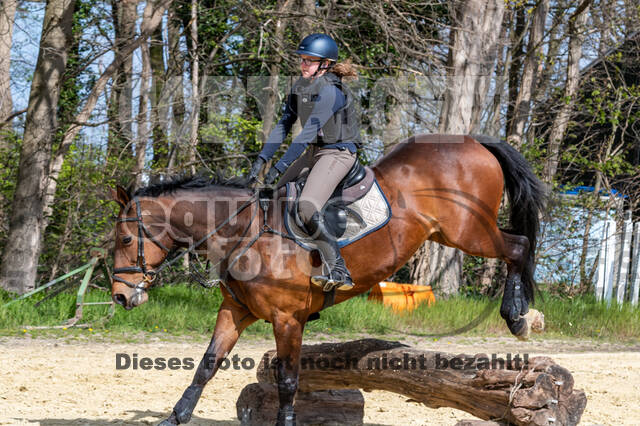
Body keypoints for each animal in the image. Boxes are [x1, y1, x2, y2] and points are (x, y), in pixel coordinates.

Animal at [109, 135, 544, 426]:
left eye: (126, 239)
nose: (120, 297)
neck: (241, 230)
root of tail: (472, 141)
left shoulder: (288, 319)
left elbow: (287, 380)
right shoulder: (235, 310)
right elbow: (208, 364)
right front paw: (175, 417)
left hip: (468, 231)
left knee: (518, 247)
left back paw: (520, 317)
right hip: (448, 234)